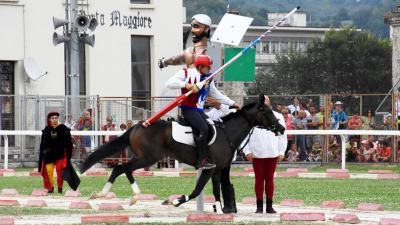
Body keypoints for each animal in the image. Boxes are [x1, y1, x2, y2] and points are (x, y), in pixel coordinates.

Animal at [79, 96, 284, 207]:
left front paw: (219, 209)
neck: (227, 133)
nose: (281, 128)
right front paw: (175, 201)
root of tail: (137, 126)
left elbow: (216, 191)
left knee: (125, 170)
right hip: (148, 157)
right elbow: (197, 190)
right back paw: (109, 194)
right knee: (120, 169)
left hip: (145, 157)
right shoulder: (209, 168)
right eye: (267, 112)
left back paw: (131, 195)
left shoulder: (216, 170)